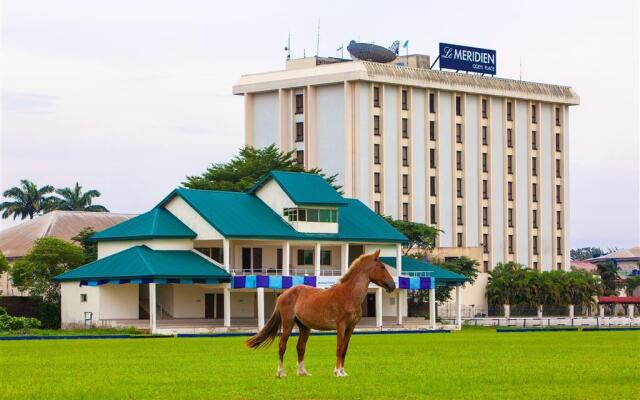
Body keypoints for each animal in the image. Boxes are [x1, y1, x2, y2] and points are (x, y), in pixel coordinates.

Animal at [245, 250, 396, 378]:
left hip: (305, 327)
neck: (348, 294)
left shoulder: (351, 328)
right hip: (288, 324)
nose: (392, 286)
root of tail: (283, 294)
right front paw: (337, 372)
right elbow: (339, 348)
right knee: (282, 346)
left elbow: (344, 350)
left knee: (300, 347)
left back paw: (303, 372)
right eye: (382, 267)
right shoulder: (341, 326)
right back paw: (281, 373)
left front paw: (343, 371)